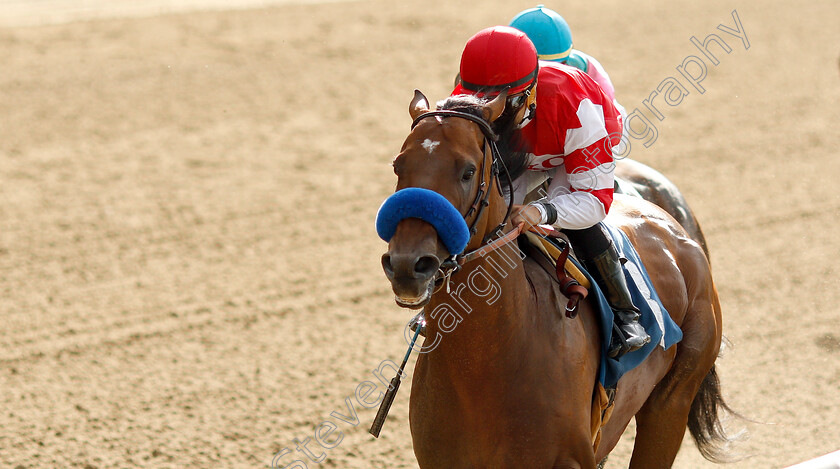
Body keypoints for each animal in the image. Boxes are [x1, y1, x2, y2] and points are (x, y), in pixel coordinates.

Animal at [380, 89, 736, 466]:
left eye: (468, 171)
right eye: (398, 166)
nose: (407, 265)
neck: (484, 362)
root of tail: (674, 228)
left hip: (672, 401)